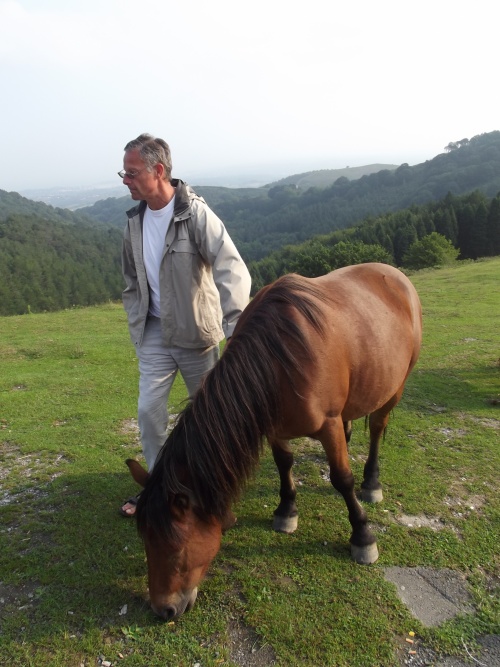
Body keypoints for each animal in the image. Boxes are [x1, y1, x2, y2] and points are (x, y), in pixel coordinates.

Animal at [125, 262, 422, 620]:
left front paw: (362, 536)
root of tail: (394, 274)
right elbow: (285, 464)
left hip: (395, 388)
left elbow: (342, 479)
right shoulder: (275, 428)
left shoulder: (328, 425)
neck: (279, 361)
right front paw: (287, 510)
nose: (163, 609)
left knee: (378, 428)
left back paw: (372, 481)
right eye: (145, 540)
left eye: (175, 547)